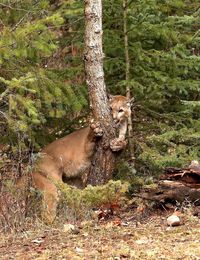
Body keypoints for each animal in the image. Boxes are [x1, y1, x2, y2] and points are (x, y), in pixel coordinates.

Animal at [32, 95, 133, 223]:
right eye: (110, 108)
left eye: (120, 110)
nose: (114, 119)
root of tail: (34, 162)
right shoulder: (86, 149)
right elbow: (89, 139)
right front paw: (95, 130)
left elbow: (122, 142)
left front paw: (118, 144)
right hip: (51, 180)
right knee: (56, 200)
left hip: (74, 181)